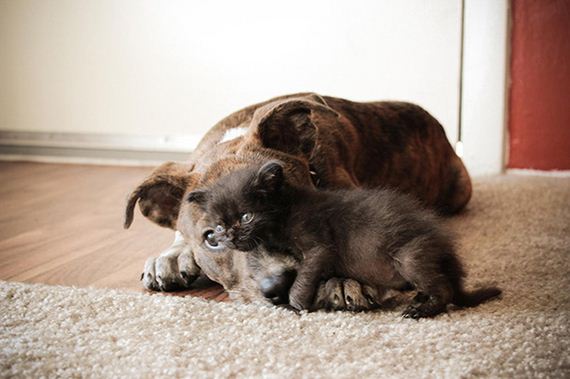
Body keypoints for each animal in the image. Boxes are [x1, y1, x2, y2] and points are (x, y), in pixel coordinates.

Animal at [189, 160, 500, 318]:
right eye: (217, 228)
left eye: (246, 216)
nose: (230, 236)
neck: (288, 208)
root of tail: (446, 247)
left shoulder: (318, 247)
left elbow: (303, 278)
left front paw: (295, 304)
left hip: (410, 256)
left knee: (444, 289)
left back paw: (422, 310)